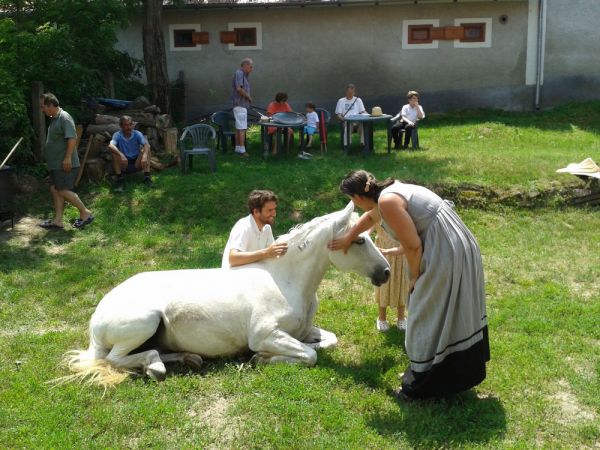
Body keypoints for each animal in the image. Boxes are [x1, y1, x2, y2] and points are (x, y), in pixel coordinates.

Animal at [59, 204, 390, 386]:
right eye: (359, 240)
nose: (386, 273)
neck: (286, 281)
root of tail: (97, 318)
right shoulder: (265, 334)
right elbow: (309, 356)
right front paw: (261, 358)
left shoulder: (305, 331)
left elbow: (327, 342)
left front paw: (265, 357)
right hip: (144, 322)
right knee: (114, 359)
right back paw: (155, 368)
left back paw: (188, 359)